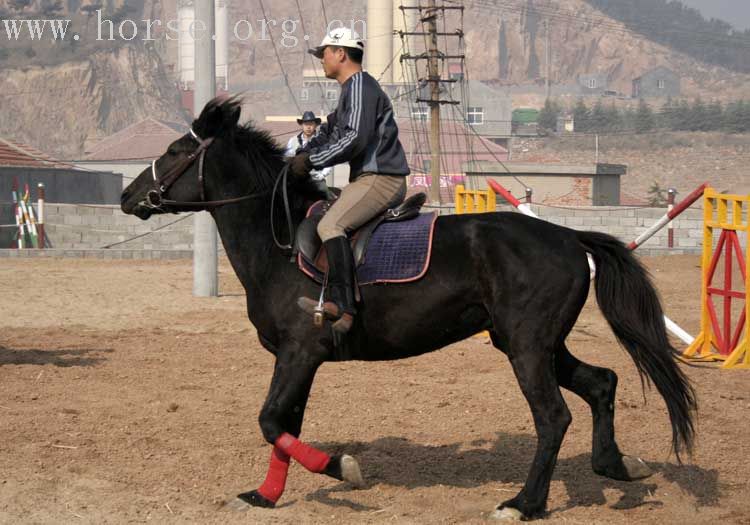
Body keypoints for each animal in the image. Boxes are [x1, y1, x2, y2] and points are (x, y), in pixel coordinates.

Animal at [120, 98, 696, 520]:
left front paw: (341, 468)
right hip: (533, 343)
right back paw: (616, 467)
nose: (128, 196)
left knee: (553, 417)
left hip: (528, 348)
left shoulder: (299, 352)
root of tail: (568, 236)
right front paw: (266, 495)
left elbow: (271, 421)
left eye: (175, 150)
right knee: (602, 383)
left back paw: (525, 504)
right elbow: (284, 425)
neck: (277, 239)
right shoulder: (296, 358)